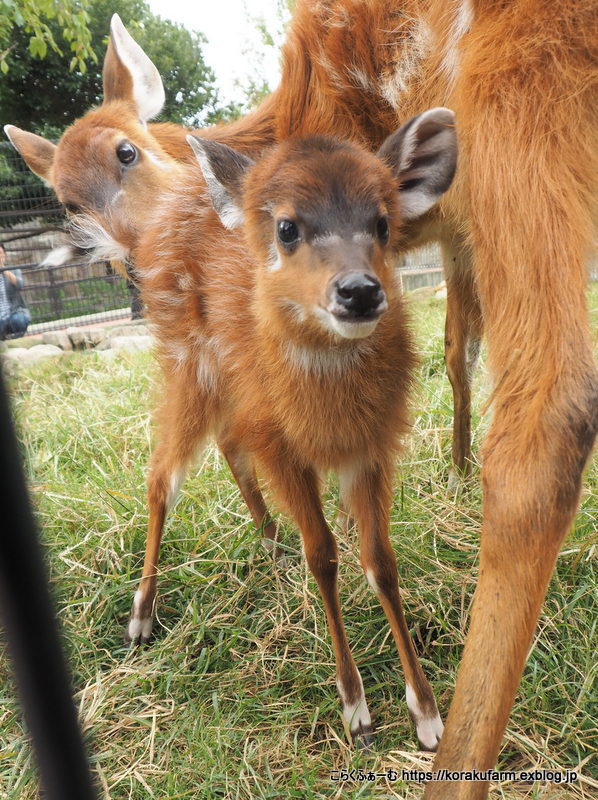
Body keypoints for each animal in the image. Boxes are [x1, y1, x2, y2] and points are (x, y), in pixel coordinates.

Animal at [132, 109, 460, 752]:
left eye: (383, 222)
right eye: (286, 228)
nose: (359, 290)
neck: (327, 418)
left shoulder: (369, 449)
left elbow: (380, 561)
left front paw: (429, 718)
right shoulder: (285, 449)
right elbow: (325, 555)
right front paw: (356, 710)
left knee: (229, 447)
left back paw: (269, 542)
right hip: (189, 363)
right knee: (162, 477)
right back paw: (141, 616)